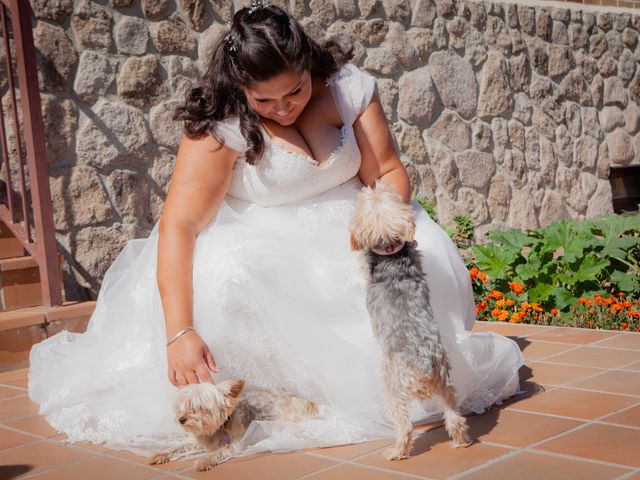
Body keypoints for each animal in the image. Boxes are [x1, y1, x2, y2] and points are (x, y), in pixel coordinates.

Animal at [149, 380, 320, 470]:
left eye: (200, 407)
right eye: (182, 407)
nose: (182, 419)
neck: (220, 427)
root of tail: (308, 402)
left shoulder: (236, 445)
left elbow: (219, 451)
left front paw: (204, 460)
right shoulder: (199, 440)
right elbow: (179, 446)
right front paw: (161, 454)